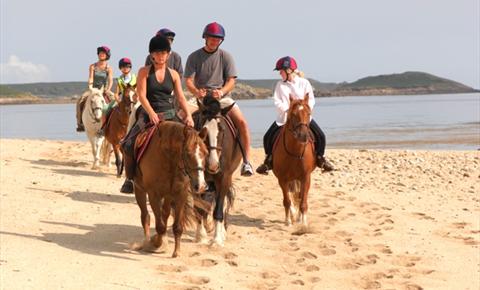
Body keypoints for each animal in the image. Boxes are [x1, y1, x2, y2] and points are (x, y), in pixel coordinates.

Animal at [134, 121, 209, 258]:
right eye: (187, 153)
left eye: (206, 153)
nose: (200, 185)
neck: (168, 159)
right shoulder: (153, 195)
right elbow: (160, 226)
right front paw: (156, 243)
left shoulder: (180, 194)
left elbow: (177, 226)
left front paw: (177, 251)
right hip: (139, 189)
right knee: (145, 216)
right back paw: (146, 242)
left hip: (168, 196)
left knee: (165, 214)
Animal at [193, 96, 242, 246]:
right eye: (202, 131)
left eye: (222, 130)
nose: (213, 165)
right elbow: (199, 208)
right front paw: (201, 236)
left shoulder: (223, 177)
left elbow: (218, 209)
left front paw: (217, 240)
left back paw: (222, 233)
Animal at [272, 94, 316, 228]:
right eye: (293, 114)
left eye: (308, 113)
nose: (303, 135)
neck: (294, 151)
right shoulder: (282, 179)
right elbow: (287, 201)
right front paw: (288, 221)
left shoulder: (306, 177)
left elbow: (303, 201)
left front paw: (304, 223)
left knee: (299, 196)